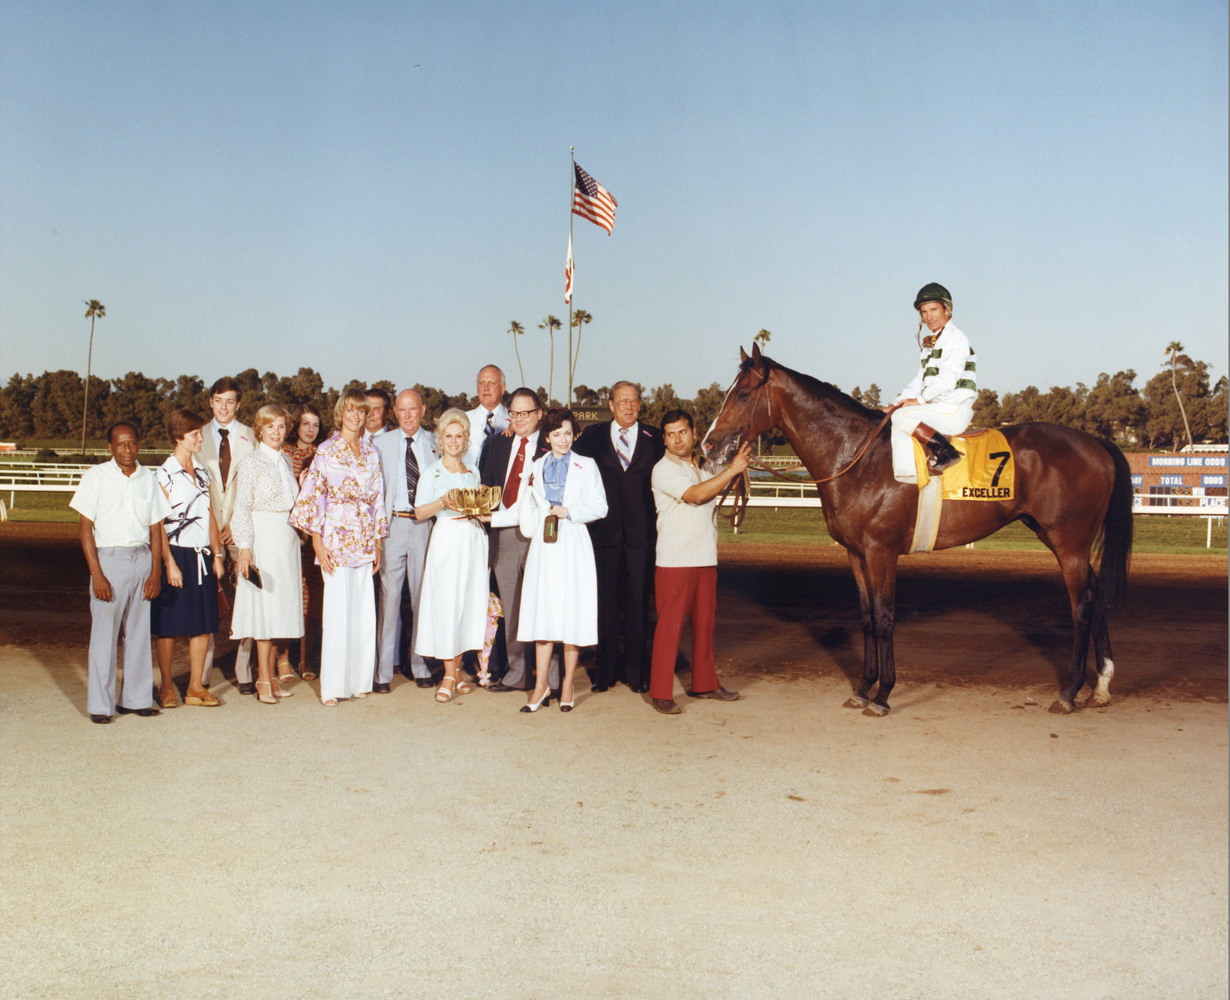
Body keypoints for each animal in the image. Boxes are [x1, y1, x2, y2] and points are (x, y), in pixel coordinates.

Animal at [703, 344, 1131, 718]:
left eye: (742, 394)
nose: (709, 446)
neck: (856, 457)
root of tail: (1096, 442)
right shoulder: (855, 552)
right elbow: (866, 617)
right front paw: (863, 689)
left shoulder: (882, 551)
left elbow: (885, 616)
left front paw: (883, 695)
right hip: (1058, 538)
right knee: (1095, 594)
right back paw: (1101, 686)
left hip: (1069, 543)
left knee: (1081, 606)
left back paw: (1069, 692)